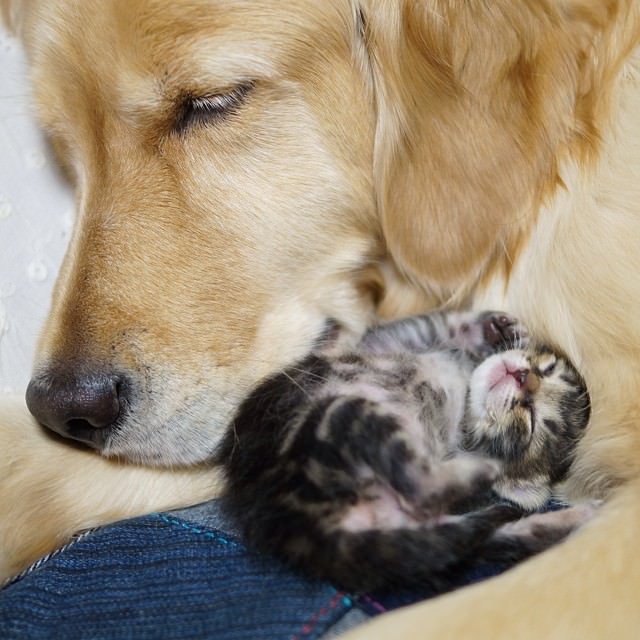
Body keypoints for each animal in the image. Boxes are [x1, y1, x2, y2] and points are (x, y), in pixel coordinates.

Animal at [218, 308, 592, 592]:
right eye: (547, 369)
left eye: (531, 423)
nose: (523, 377)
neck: (463, 389)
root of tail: (299, 527)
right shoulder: (387, 341)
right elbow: (440, 324)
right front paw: (496, 327)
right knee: (496, 538)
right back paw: (578, 517)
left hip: (341, 414)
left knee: (424, 489)